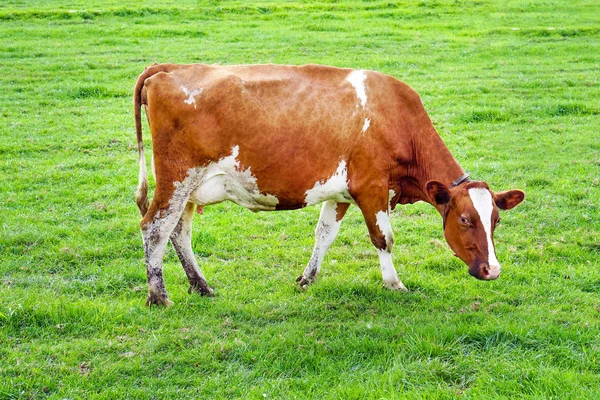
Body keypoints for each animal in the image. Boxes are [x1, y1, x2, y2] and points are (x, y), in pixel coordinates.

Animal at [132, 63, 524, 306]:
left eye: (496, 221)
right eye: (465, 220)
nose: (493, 270)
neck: (393, 116)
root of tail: (168, 67)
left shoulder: (342, 193)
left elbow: (324, 234)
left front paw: (307, 278)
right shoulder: (371, 187)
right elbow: (384, 238)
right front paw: (394, 283)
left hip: (189, 189)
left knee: (178, 232)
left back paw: (201, 286)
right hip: (177, 180)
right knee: (155, 228)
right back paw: (158, 295)